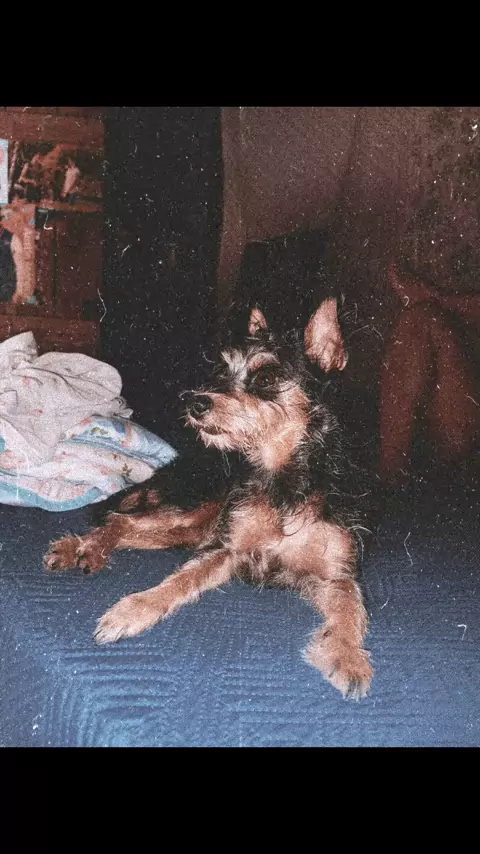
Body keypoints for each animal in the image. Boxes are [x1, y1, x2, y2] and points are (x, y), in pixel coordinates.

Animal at [44, 296, 373, 699]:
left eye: (266, 378)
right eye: (222, 370)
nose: (194, 402)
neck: (284, 480)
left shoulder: (336, 575)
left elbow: (350, 610)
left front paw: (349, 658)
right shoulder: (227, 548)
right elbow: (180, 580)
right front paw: (132, 611)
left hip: (189, 530)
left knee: (126, 528)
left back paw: (86, 551)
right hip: (194, 512)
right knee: (119, 520)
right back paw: (79, 547)